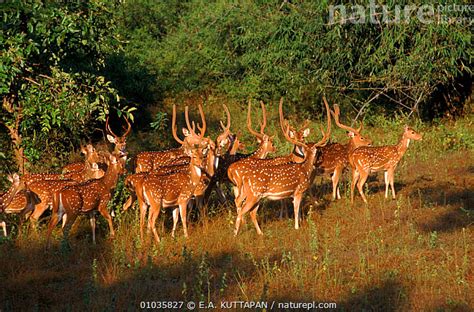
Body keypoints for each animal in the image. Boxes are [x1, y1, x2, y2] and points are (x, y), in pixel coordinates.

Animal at [234, 96, 332, 235]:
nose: (318, 162)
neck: (305, 169)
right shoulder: (298, 190)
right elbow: (296, 208)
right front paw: (297, 227)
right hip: (254, 194)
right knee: (243, 210)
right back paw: (236, 233)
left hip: (251, 194)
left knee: (249, 210)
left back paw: (259, 233)